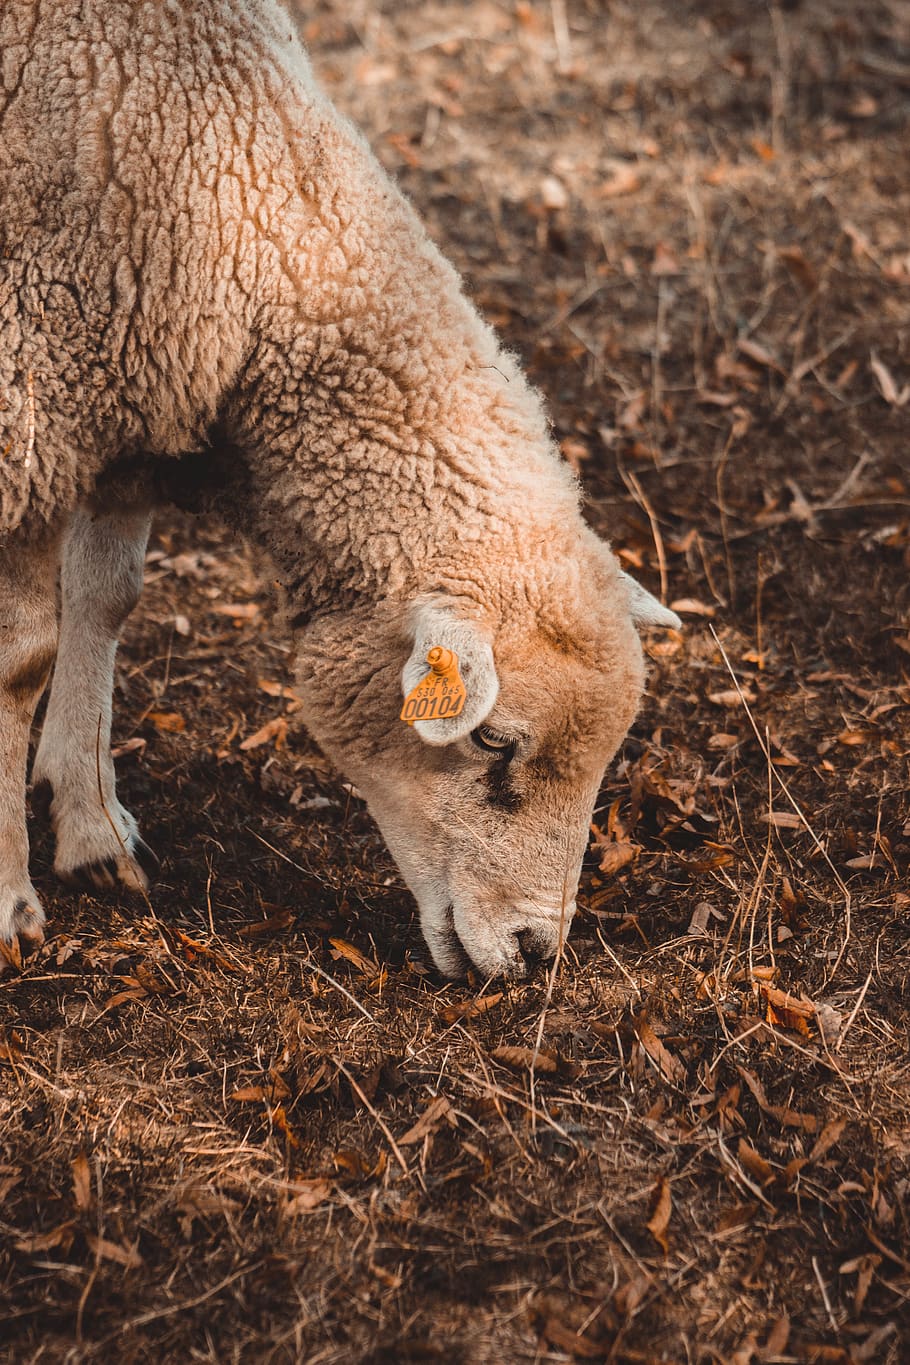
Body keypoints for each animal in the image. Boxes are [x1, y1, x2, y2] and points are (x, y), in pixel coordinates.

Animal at [0, 0, 679, 980]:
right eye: (490, 738)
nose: (534, 949)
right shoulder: (29, 407)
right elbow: (21, 658)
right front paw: (11, 898)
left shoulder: (130, 402)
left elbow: (104, 600)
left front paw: (92, 828)